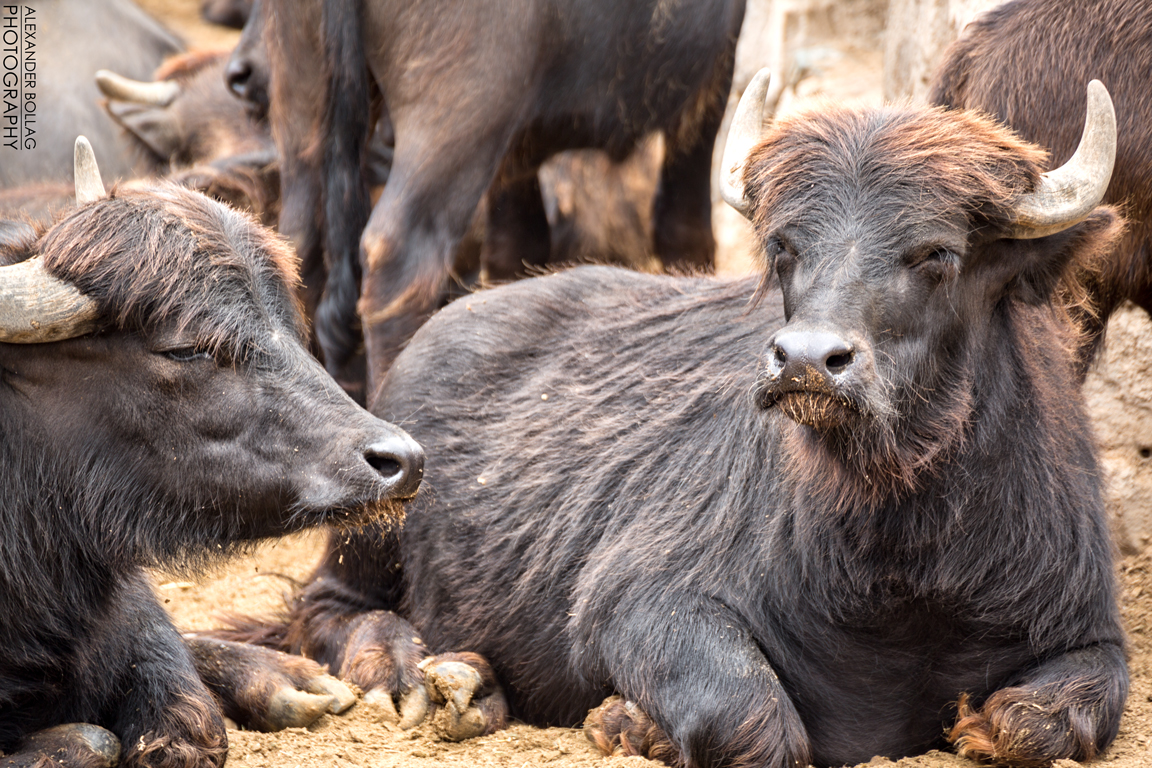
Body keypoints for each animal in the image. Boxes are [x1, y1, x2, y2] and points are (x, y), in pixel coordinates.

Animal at [220, 73, 1128, 768]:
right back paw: (406, 668)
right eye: (784, 247)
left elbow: (1039, 722)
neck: (904, 563)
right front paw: (630, 722)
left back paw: (472, 685)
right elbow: (757, 721)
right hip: (375, 514)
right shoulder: (638, 602)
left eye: (937, 254)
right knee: (325, 607)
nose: (806, 361)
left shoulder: (1091, 631)